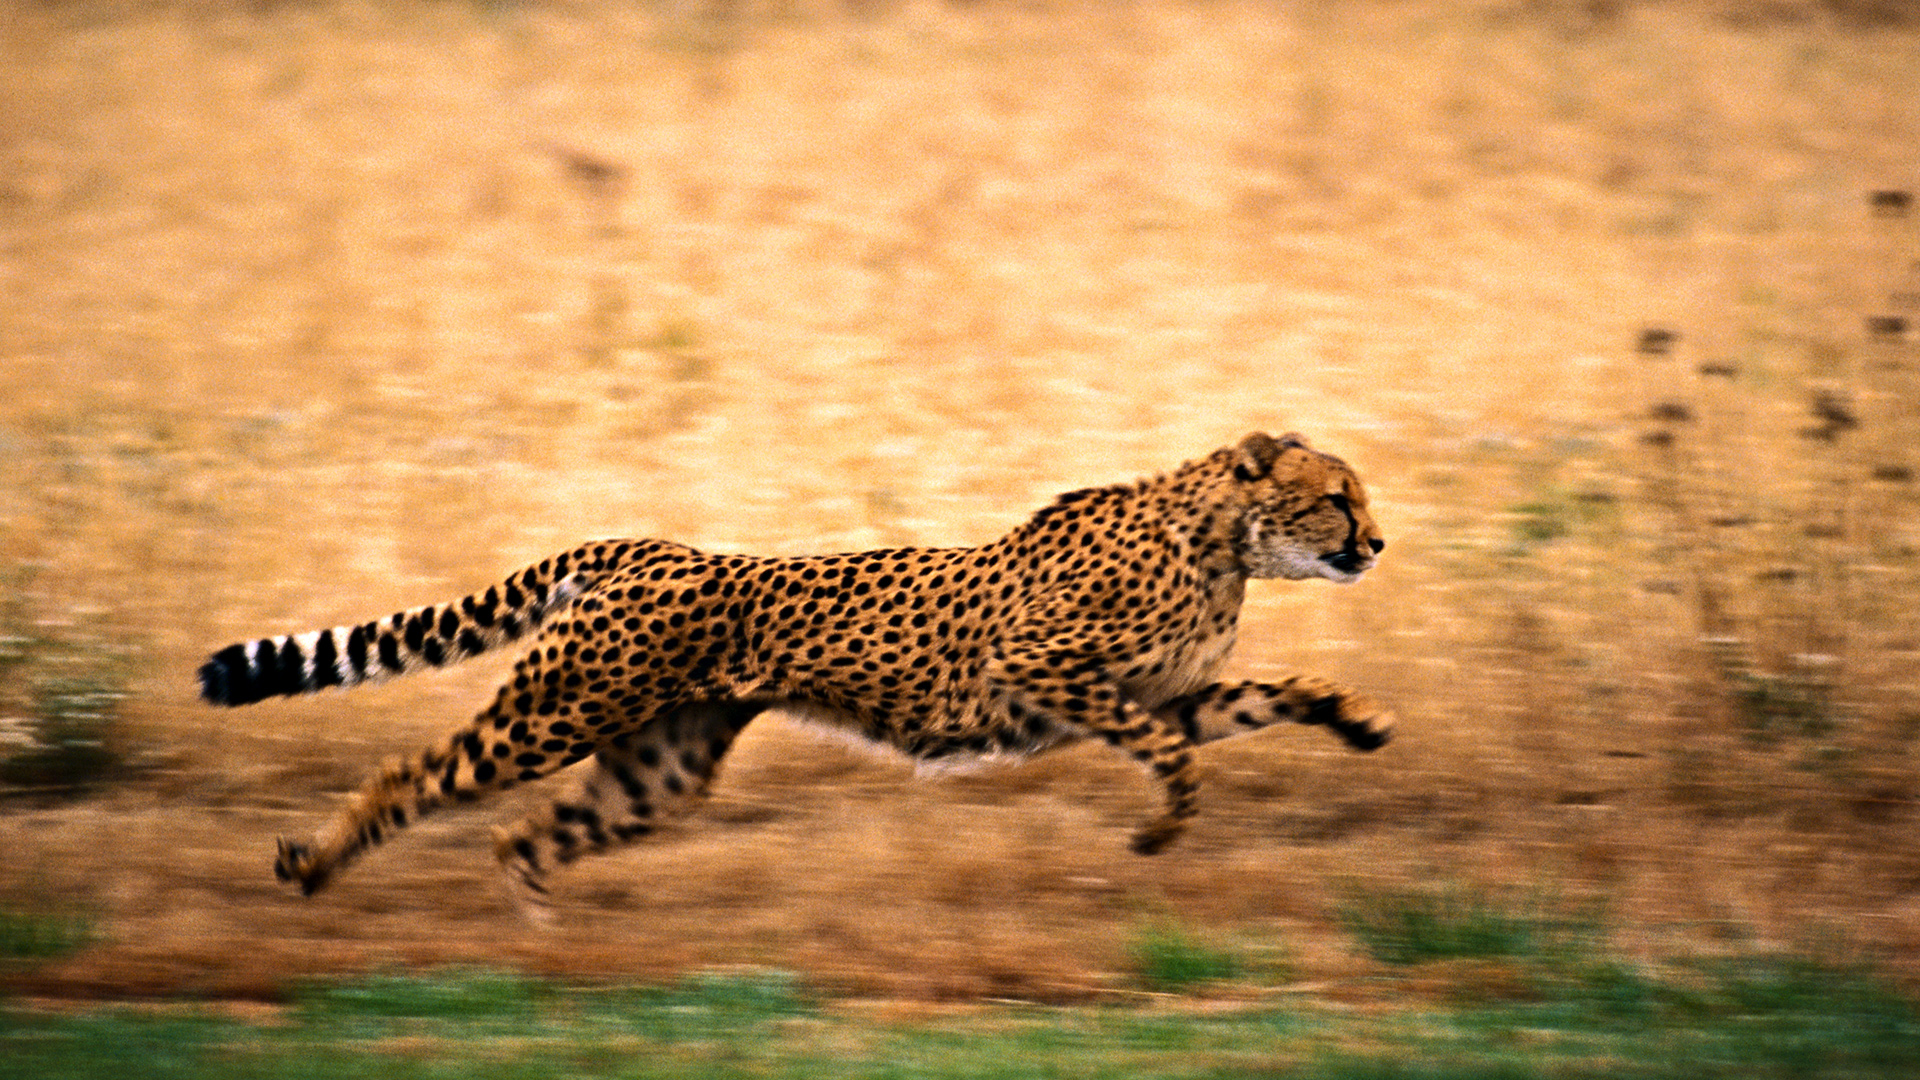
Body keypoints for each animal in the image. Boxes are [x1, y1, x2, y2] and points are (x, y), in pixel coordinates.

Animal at [202, 432, 1390, 903]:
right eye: (1337, 496)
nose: (1377, 543)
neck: (1223, 541)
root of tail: (648, 545)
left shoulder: (1167, 692)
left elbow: (1272, 695)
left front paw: (1359, 720)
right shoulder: (1040, 670)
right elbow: (1168, 756)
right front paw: (1158, 831)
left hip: (660, 764)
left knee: (523, 834)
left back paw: (539, 937)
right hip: (557, 712)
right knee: (418, 775)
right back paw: (315, 866)